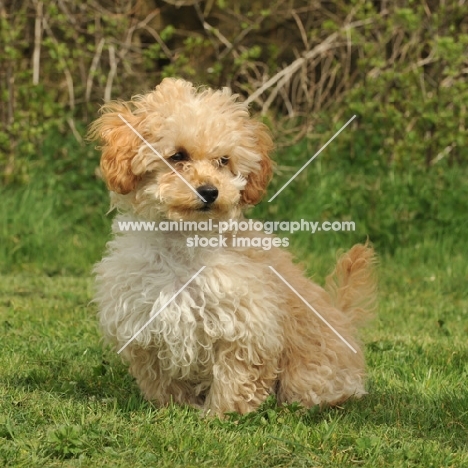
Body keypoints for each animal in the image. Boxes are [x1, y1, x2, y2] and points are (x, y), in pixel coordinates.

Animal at [88, 77, 376, 416]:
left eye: (223, 161)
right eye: (178, 156)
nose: (209, 191)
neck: (185, 243)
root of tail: (344, 322)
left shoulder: (246, 325)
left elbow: (235, 376)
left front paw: (219, 414)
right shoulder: (145, 322)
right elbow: (162, 378)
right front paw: (175, 407)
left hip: (309, 373)